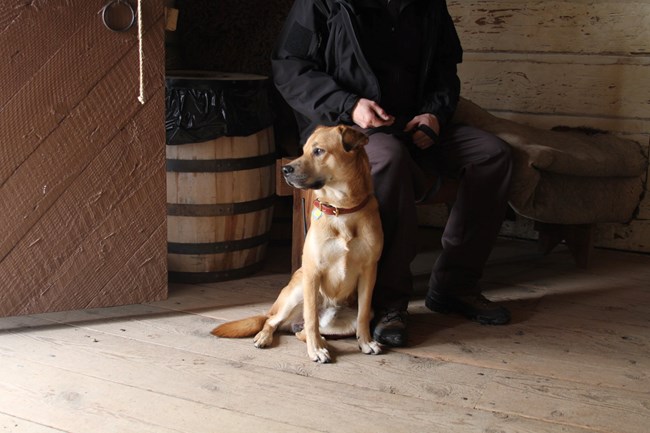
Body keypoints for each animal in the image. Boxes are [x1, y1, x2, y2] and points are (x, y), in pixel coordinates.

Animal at [213, 125, 382, 362]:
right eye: (302, 151)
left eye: (318, 151)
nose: (285, 169)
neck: (342, 209)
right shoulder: (313, 272)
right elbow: (311, 318)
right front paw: (315, 350)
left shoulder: (369, 272)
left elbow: (363, 315)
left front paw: (365, 342)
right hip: (297, 291)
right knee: (273, 321)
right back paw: (269, 337)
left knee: (302, 331)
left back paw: (323, 342)